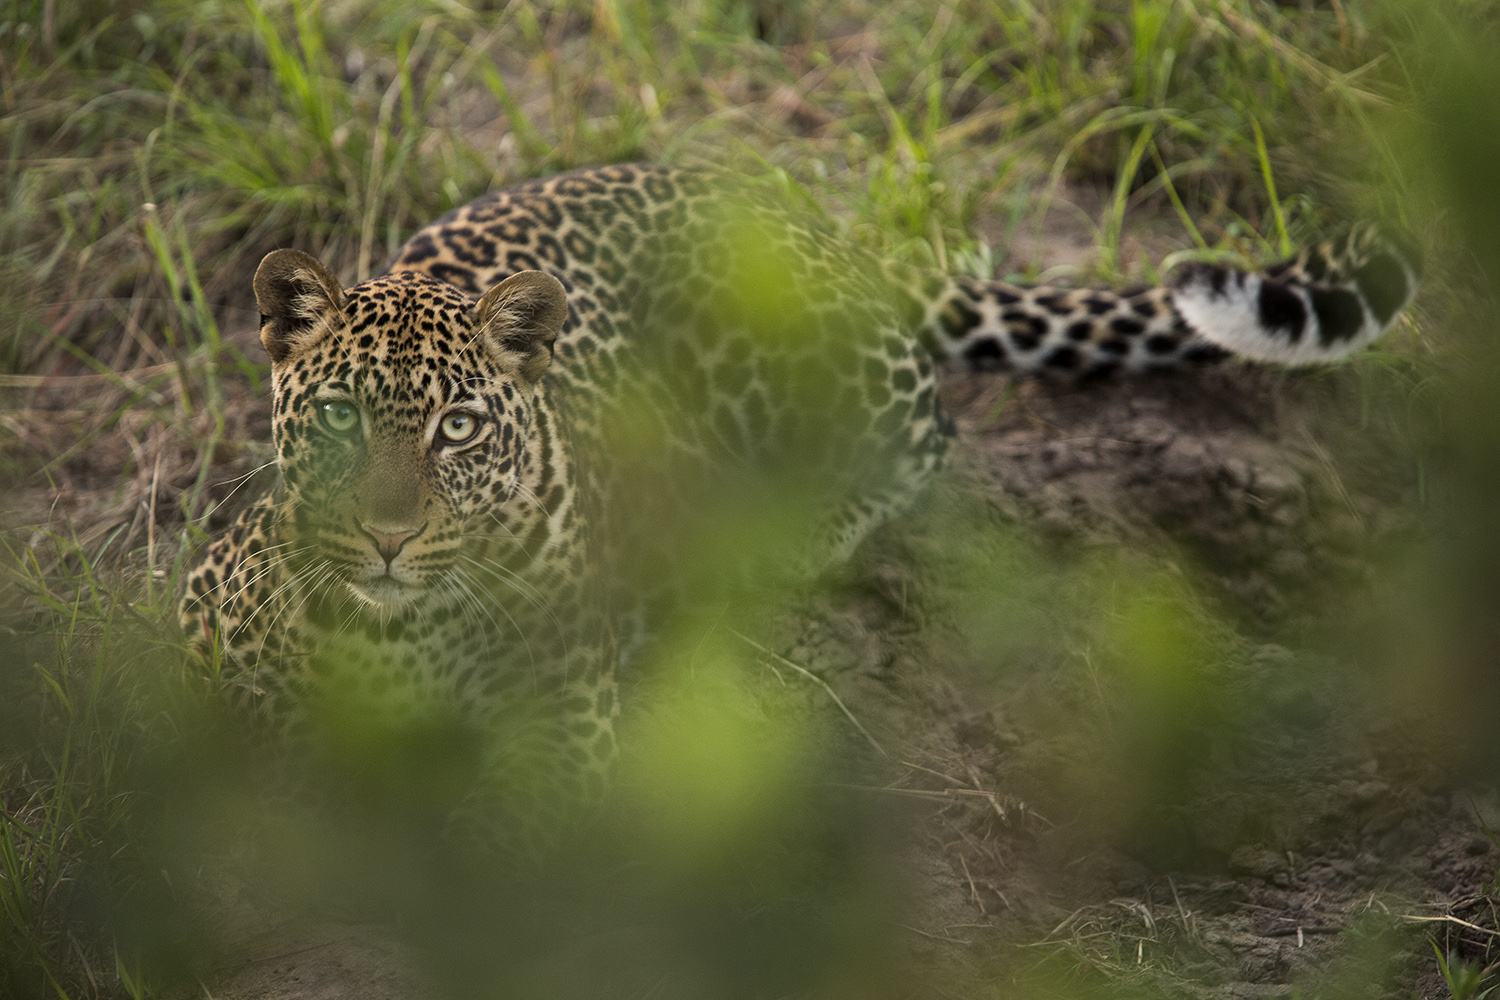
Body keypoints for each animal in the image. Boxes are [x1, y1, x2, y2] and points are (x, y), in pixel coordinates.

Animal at [175, 162, 1416, 839]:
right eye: (341, 418)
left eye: (459, 430)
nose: (387, 537)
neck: (402, 633)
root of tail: (816, 227)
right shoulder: (205, 613)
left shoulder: (567, 721)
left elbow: (505, 824)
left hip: (811, 367)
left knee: (924, 434)